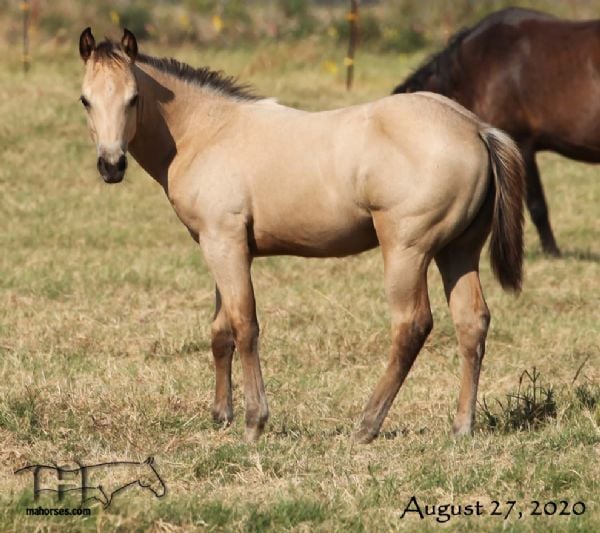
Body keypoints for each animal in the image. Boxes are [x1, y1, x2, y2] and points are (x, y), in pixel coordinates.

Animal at [79, 28, 524, 440]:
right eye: (85, 99)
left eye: (133, 97)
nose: (111, 165)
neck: (208, 132)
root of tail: (475, 128)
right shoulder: (218, 244)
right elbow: (221, 331)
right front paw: (221, 415)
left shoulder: (225, 243)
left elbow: (245, 326)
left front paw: (254, 423)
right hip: (458, 251)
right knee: (472, 322)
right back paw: (461, 426)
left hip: (406, 250)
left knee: (411, 325)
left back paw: (367, 424)